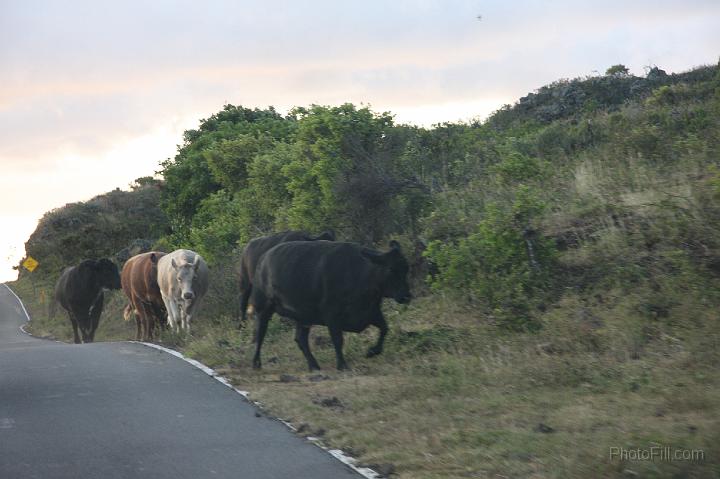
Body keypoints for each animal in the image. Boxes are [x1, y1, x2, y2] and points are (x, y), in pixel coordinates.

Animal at [252, 242, 410, 374]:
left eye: (406, 268)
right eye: (391, 269)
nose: (406, 296)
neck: (361, 273)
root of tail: (263, 259)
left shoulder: (372, 312)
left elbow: (384, 328)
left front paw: (372, 351)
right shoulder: (332, 316)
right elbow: (338, 340)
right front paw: (342, 365)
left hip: (303, 317)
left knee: (301, 339)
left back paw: (314, 365)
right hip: (264, 308)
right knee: (260, 333)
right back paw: (256, 363)